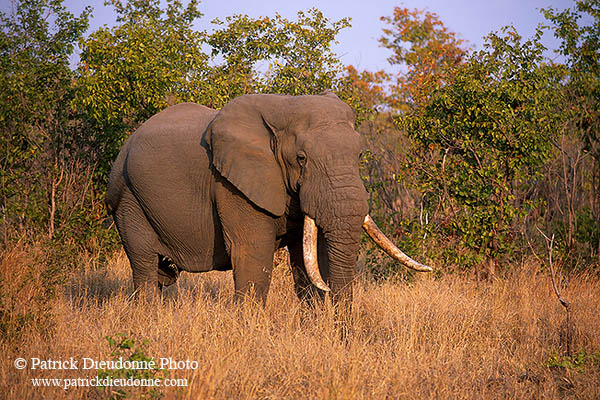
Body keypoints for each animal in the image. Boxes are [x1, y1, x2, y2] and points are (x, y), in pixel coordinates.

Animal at [105, 91, 428, 304]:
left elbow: (310, 259)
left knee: (162, 274)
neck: (283, 107)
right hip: (128, 200)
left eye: (360, 155)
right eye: (301, 159)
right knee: (145, 267)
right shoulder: (232, 185)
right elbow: (253, 255)